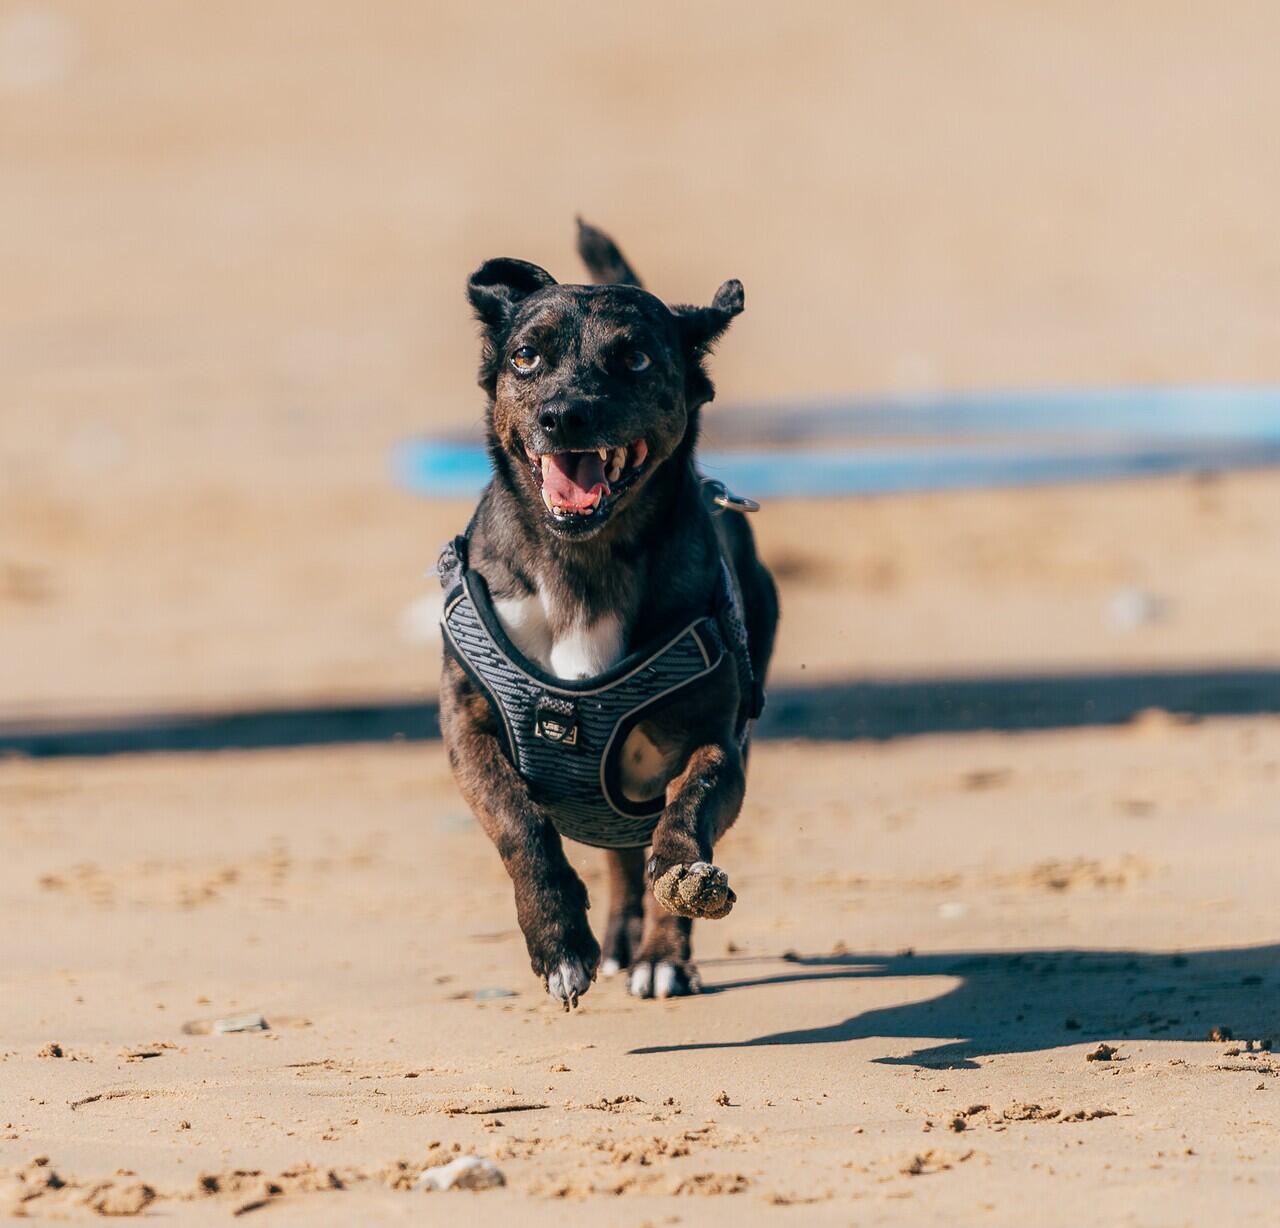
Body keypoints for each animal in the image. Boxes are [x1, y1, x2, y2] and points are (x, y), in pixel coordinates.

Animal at [440, 220, 778, 1009]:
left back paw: (658, 955)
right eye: (526, 355)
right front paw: (561, 943)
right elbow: (520, 822)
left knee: (638, 843)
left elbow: (689, 809)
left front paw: (678, 882)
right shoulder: (466, 727)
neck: (582, 566)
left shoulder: (716, 742)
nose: (563, 414)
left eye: (635, 357)